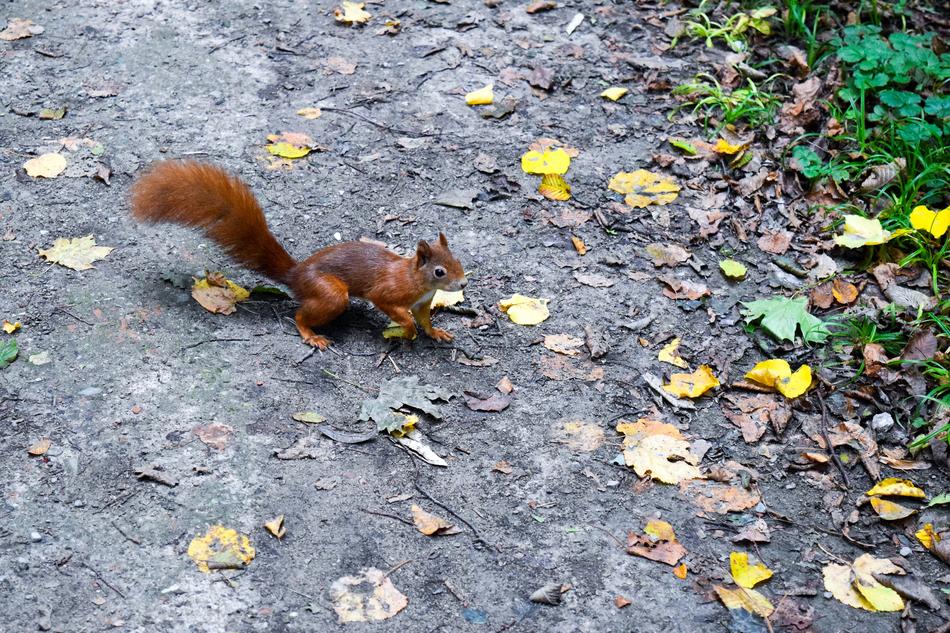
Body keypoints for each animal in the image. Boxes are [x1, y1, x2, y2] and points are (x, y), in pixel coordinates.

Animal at [130, 160, 467, 349]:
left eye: (459, 261)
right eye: (439, 271)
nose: (463, 284)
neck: (416, 280)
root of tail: (296, 275)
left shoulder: (423, 303)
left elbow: (424, 319)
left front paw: (436, 332)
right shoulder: (388, 293)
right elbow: (395, 309)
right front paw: (406, 330)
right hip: (332, 295)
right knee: (299, 315)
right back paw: (311, 334)